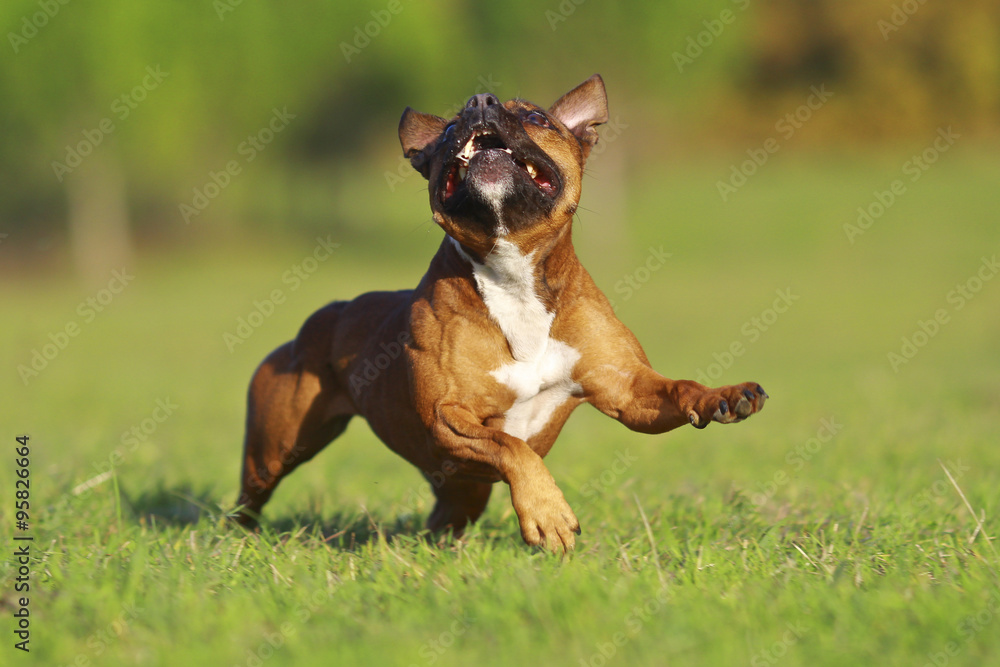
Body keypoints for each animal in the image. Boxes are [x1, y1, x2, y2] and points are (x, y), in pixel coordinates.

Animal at [234, 75, 764, 552]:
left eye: (537, 118)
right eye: (449, 129)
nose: (479, 102)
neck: (512, 269)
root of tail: (323, 318)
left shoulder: (626, 389)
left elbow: (677, 388)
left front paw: (724, 395)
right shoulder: (449, 417)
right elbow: (513, 448)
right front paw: (548, 515)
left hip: (459, 486)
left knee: (445, 516)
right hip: (276, 448)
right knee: (250, 493)